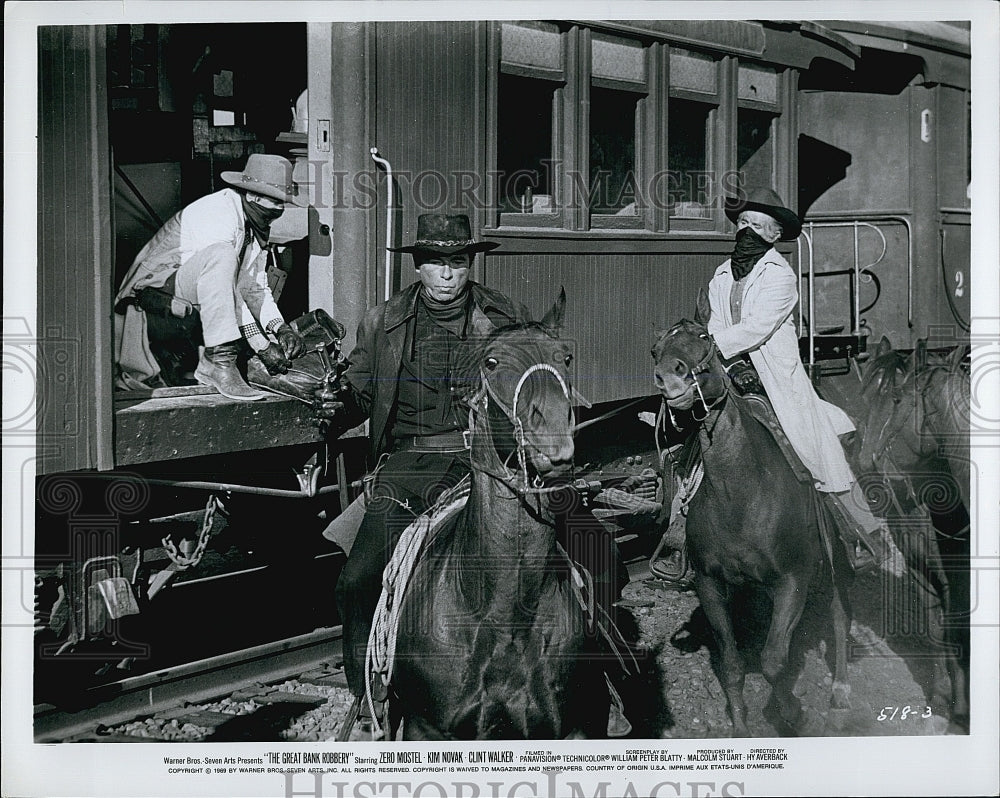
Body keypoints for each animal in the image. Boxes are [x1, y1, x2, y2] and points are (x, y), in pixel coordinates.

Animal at [380, 296, 624, 744]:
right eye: (491, 362)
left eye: (565, 356)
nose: (554, 435)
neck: (506, 618)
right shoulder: (426, 728)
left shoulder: (573, 729)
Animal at [652, 318, 856, 736]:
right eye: (655, 349)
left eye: (704, 338)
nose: (669, 377)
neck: (741, 494)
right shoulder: (710, 585)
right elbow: (732, 664)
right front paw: (741, 726)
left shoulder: (793, 579)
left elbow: (774, 660)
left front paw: (793, 713)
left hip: (837, 554)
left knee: (839, 614)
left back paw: (841, 694)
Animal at [848, 338, 972, 724]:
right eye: (863, 393)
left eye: (896, 399)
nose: (862, 459)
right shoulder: (921, 571)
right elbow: (936, 633)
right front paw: (943, 698)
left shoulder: (956, 581)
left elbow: (958, 635)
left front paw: (962, 708)